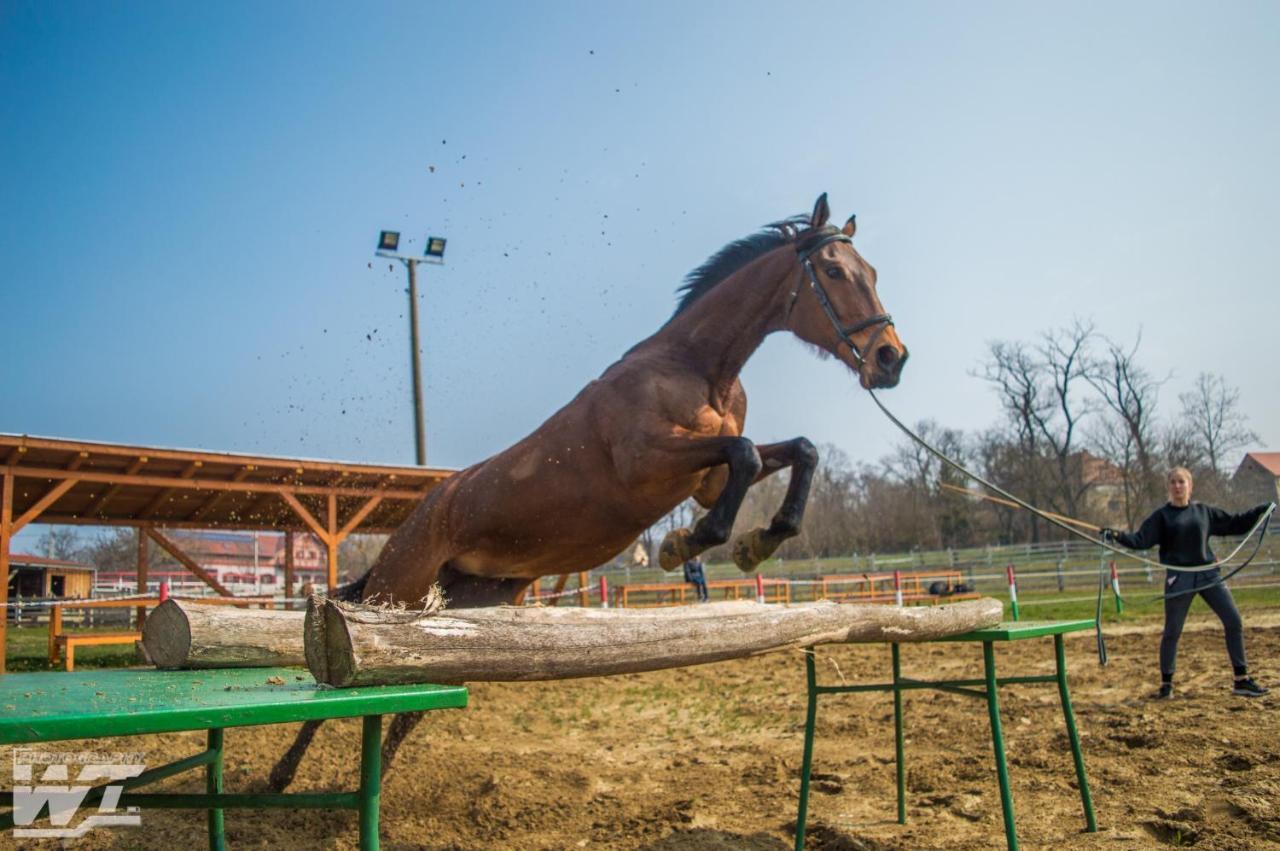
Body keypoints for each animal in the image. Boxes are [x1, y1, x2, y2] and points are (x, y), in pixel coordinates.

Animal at [270, 194, 911, 788]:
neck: (700, 369)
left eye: (874, 272)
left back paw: (373, 778)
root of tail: (420, 515)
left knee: (407, 704)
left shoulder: (709, 481)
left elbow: (799, 450)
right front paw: (685, 544)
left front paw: (760, 541)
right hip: (397, 591)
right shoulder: (648, 463)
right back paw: (281, 775)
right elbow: (747, 452)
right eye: (833, 271)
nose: (891, 359)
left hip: (467, 608)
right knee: (343, 679)